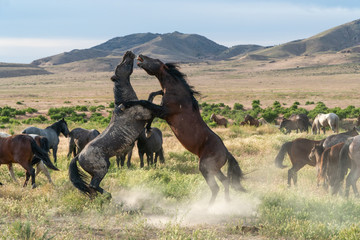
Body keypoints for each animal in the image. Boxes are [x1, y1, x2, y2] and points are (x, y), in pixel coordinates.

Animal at [68, 50, 152, 197]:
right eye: (120, 65)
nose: (128, 53)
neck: (125, 103)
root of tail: (79, 156)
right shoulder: (145, 115)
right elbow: (153, 103)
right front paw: (148, 130)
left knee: (91, 187)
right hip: (102, 168)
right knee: (93, 185)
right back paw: (108, 196)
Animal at [121, 54, 245, 204]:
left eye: (156, 60)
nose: (140, 56)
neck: (178, 93)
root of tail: (226, 152)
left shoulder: (164, 112)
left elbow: (146, 104)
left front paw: (125, 105)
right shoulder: (162, 111)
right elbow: (151, 99)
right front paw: (148, 129)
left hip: (205, 167)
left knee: (215, 188)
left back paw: (208, 207)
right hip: (214, 169)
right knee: (226, 182)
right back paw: (226, 203)